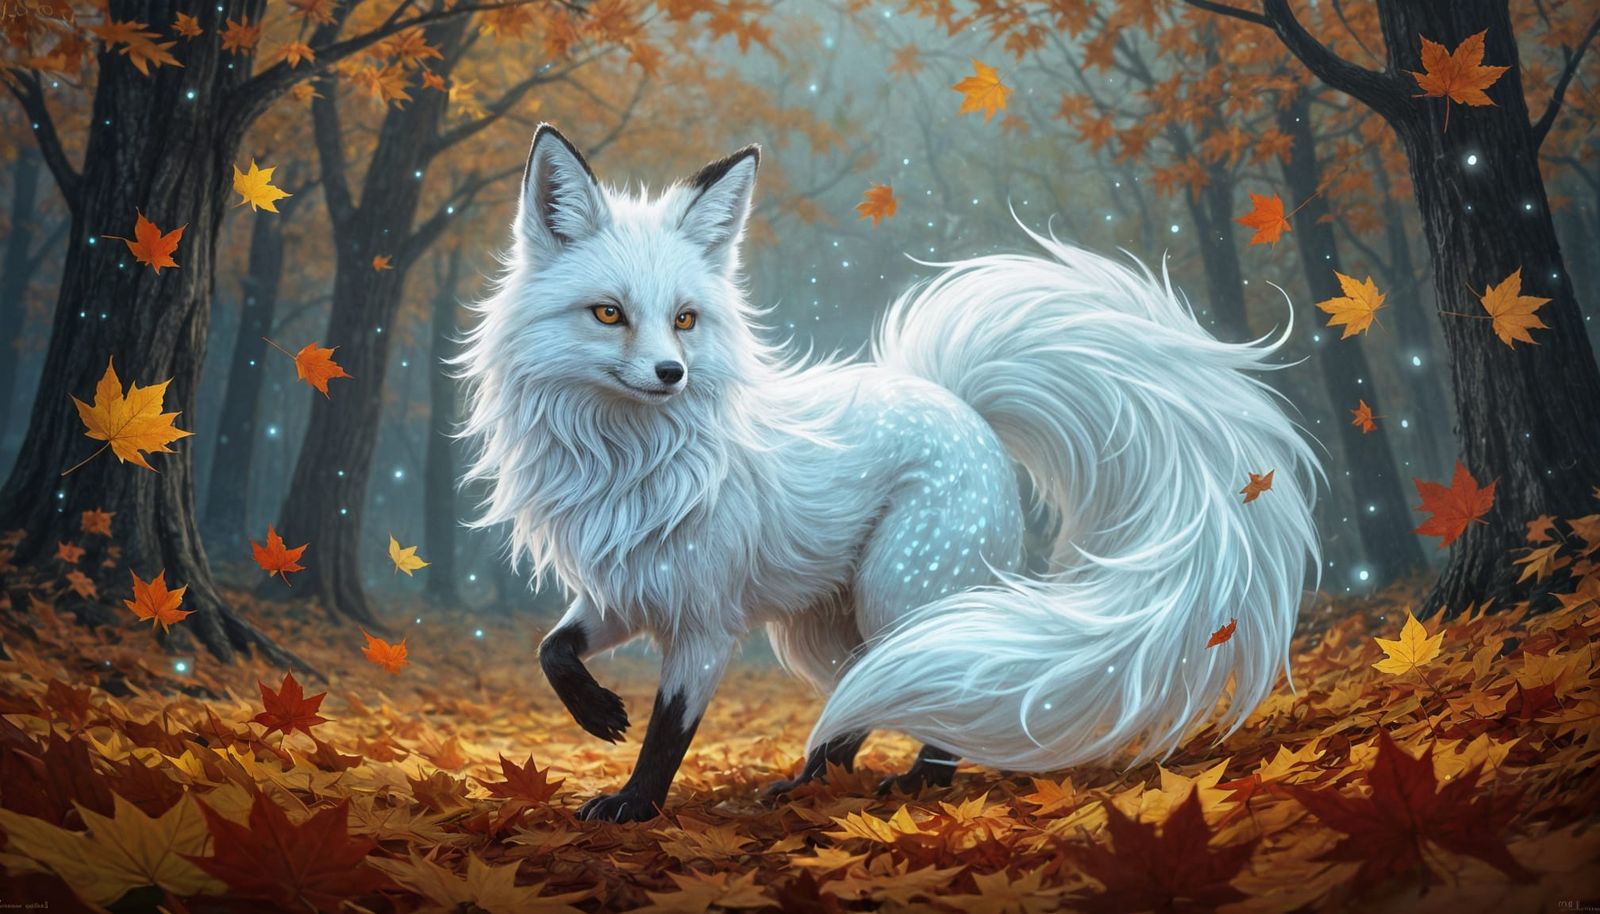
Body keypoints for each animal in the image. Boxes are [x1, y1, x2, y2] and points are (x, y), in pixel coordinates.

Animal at [455, 123, 1321, 822]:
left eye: (685, 319)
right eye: (609, 314)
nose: (672, 373)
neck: (627, 464)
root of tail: (956, 400)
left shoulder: (705, 621)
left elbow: (670, 732)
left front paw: (634, 805)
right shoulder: (625, 590)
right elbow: (553, 650)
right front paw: (597, 713)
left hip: (896, 594)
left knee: (943, 684)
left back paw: (917, 783)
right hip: (822, 626)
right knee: (868, 695)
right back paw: (812, 779)